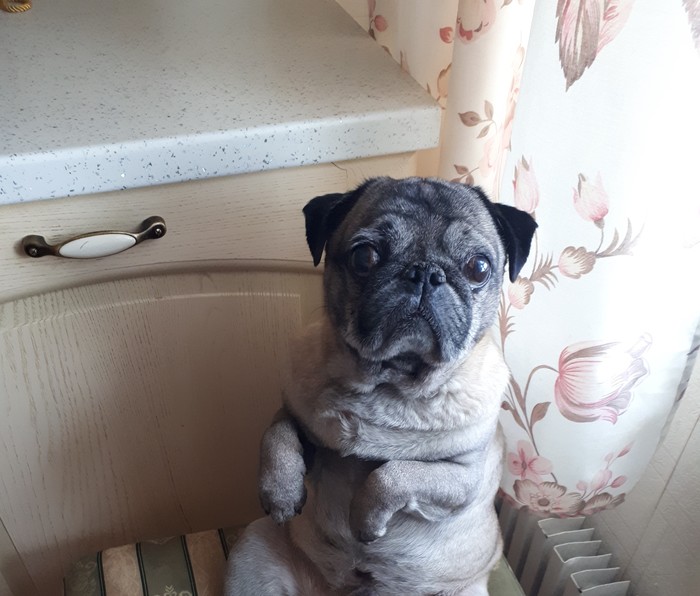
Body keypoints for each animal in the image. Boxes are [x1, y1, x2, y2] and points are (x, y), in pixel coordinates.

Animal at [225, 177, 537, 595]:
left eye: (478, 267)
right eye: (365, 257)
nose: (424, 273)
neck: (390, 386)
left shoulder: (462, 478)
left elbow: (393, 474)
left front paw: (365, 519)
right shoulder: (294, 413)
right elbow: (276, 434)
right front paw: (281, 492)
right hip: (252, 546)